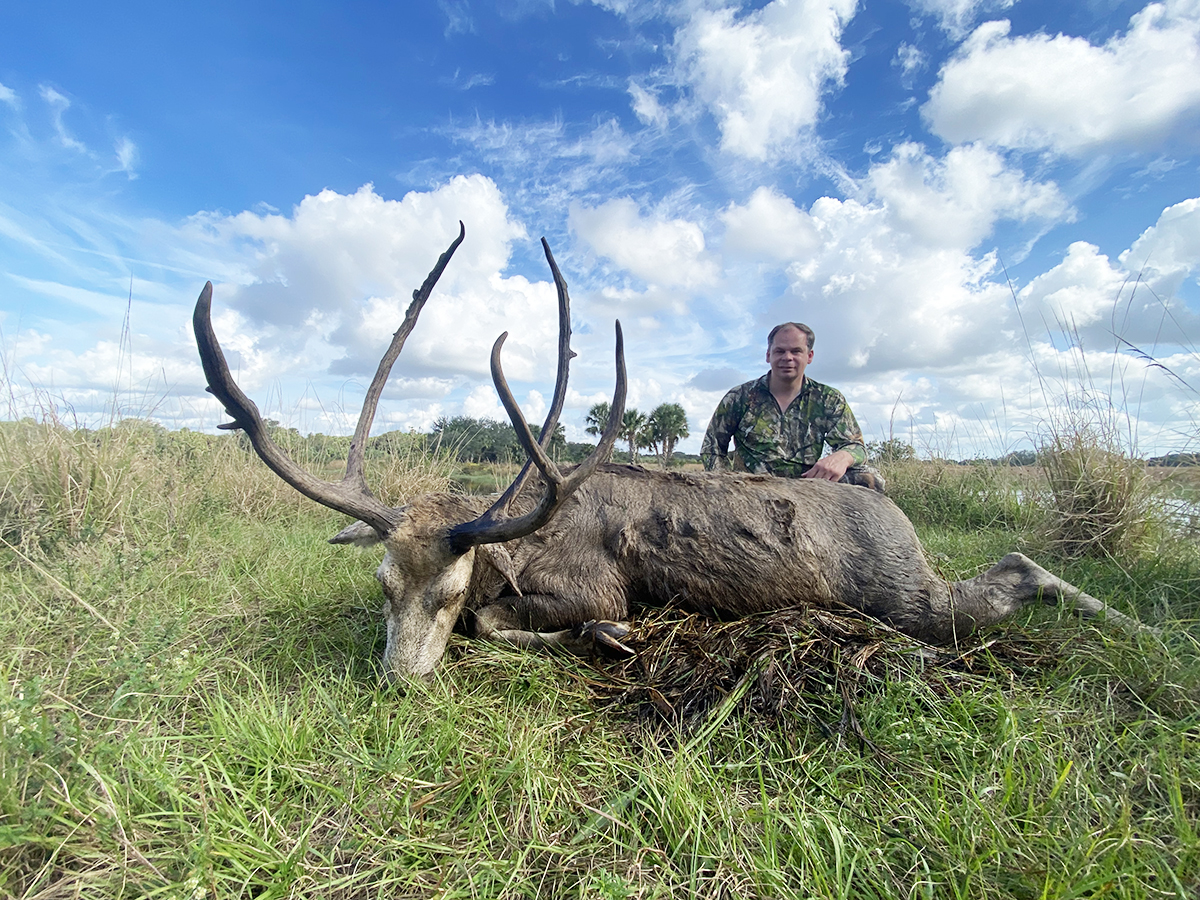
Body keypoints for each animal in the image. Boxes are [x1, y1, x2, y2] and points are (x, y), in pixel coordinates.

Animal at [193, 223, 1146, 681]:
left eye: (453, 588)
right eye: (384, 583)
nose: (398, 682)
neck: (527, 536)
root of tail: (894, 511)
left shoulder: (591, 582)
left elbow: (514, 626)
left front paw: (609, 637)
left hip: (902, 593)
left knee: (1014, 569)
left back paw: (1135, 624)